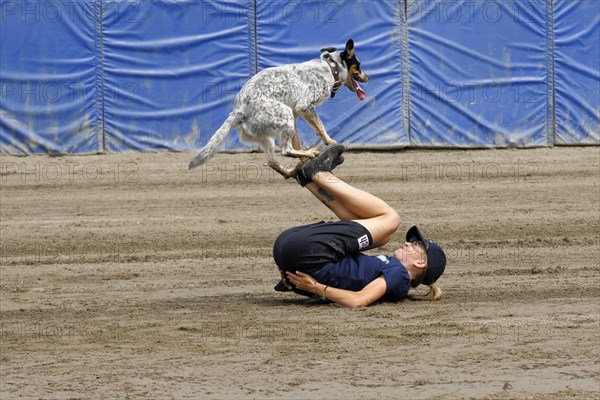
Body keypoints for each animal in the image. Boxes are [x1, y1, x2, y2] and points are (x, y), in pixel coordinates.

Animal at [188, 38, 368, 177]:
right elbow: (321, 128)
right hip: (284, 115)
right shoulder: (305, 107)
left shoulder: (296, 116)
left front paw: (304, 161)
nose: (368, 77)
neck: (331, 68)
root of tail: (238, 111)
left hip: (269, 135)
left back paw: (290, 170)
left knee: (273, 161)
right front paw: (329, 142)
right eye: (359, 65)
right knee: (285, 150)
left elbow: (297, 142)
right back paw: (310, 152)